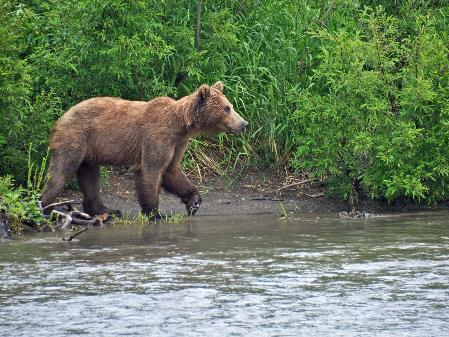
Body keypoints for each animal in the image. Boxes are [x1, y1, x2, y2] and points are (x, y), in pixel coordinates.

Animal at [41, 82, 248, 220]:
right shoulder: (157, 136)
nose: (244, 124)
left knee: (90, 176)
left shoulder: (178, 143)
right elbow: (151, 170)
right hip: (75, 137)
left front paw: (193, 201)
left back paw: (107, 210)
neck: (181, 126)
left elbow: (172, 171)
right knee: (61, 171)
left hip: (90, 150)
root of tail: (61, 116)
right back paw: (46, 208)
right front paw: (156, 213)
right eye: (227, 108)